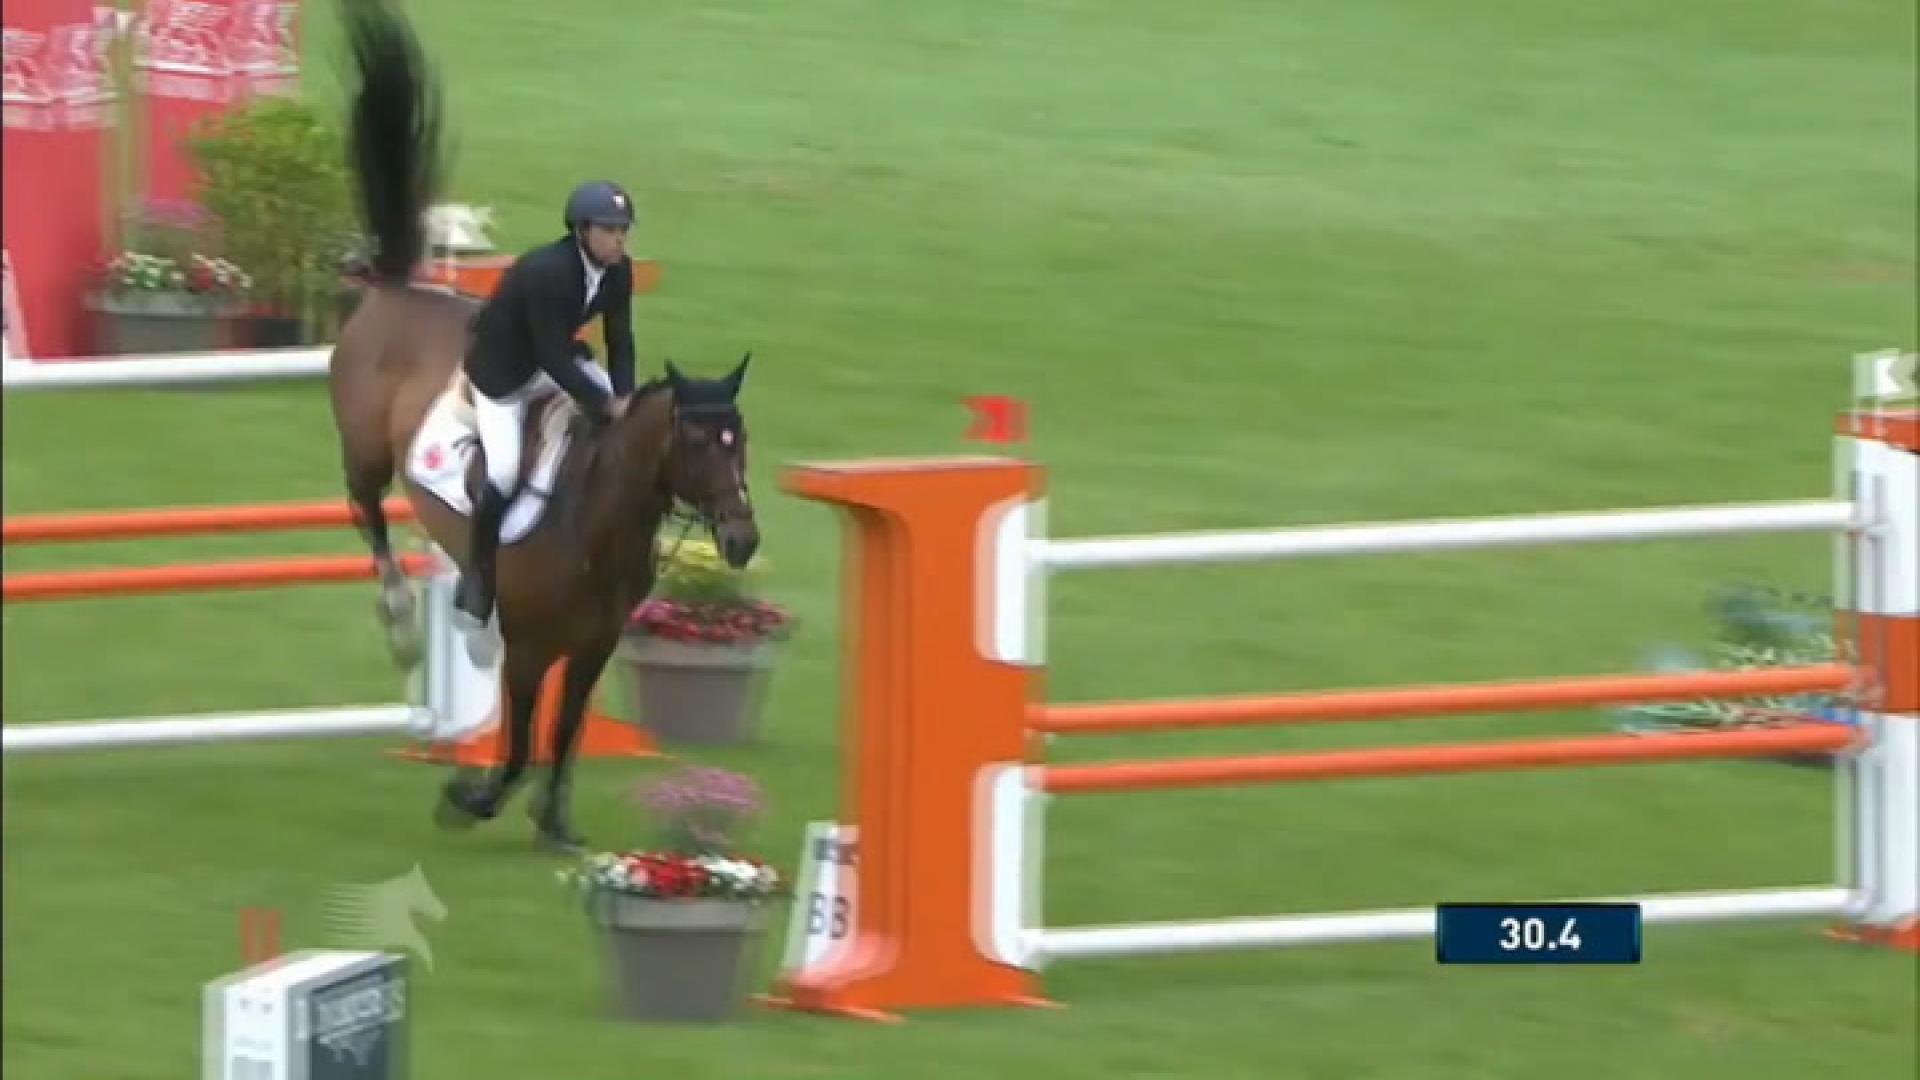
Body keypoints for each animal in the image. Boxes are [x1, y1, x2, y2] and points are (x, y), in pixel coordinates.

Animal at [325, 0, 761, 852]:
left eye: (742, 441)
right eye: (698, 443)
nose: (740, 540)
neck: (598, 519)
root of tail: (395, 289)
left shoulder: (592, 646)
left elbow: (562, 736)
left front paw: (555, 821)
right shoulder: (530, 648)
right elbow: (524, 739)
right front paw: (471, 798)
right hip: (363, 450)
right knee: (367, 512)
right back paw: (402, 621)